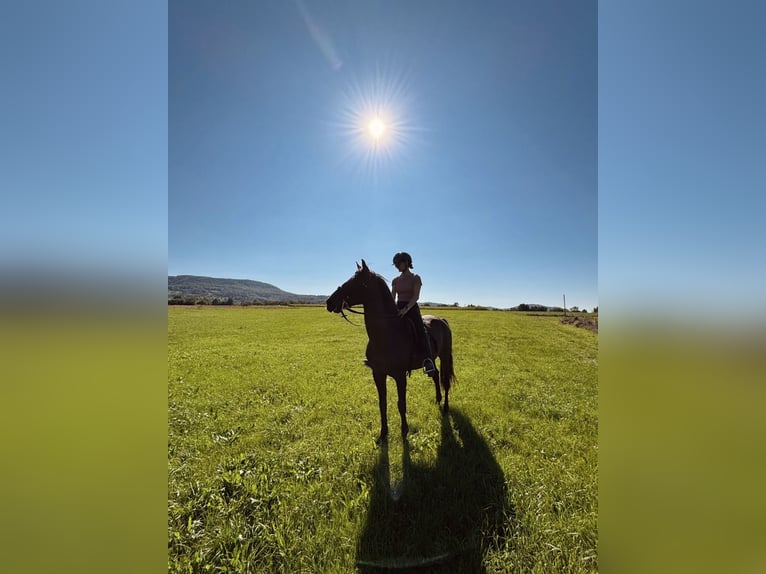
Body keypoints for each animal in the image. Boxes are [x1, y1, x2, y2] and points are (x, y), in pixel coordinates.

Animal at [326, 260, 456, 443]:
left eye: (355, 282)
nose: (329, 302)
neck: (387, 334)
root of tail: (441, 320)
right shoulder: (378, 374)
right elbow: (382, 403)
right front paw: (383, 433)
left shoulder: (400, 376)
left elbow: (401, 404)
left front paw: (404, 431)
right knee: (435, 374)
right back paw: (437, 400)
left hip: (444, 357)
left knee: (445, 379)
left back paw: (445, 407)